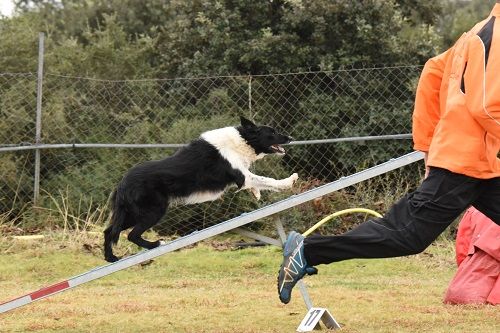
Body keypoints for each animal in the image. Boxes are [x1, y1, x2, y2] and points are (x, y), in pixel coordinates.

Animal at [102, 116, 296, 262]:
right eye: (272, 133)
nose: (291, 138)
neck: (243, 140)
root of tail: (122, 183)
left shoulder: (244, 176)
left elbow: (258, 184)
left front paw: (256, 193)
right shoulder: (243, 177)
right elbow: (267, 180)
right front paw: (289, 182)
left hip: (132, 214)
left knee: (109, 231)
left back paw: (111, 258)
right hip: (153, 211)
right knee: (131, 235)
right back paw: (155, 245)